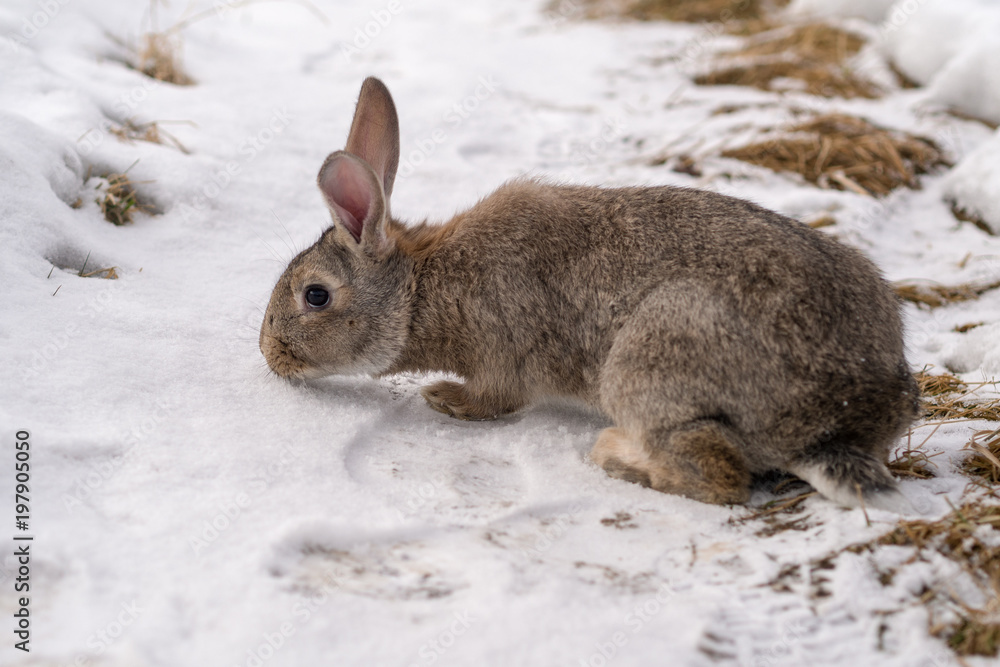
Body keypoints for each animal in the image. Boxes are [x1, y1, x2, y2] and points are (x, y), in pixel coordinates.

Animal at [260, 76, 921, 509]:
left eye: (314, 296)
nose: (270, 356)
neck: (421, 287)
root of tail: (841, 423)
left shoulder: (501, 351)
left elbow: (493, 400)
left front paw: (442, 398)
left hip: (649, 361)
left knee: (719, 476)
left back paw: (616, 456)